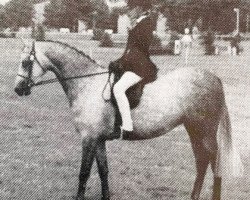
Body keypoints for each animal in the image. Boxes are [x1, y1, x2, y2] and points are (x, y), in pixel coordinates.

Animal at [14, 40, 243, 200]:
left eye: (26, 62)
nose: (18, 89)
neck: (87, 84)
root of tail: (214, 78)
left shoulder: (89, 139)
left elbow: (84, 173)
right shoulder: (99, 140)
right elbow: (103, 171)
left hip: (204, 132)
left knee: (213, 162)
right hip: (194, 131)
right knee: (201, 162)